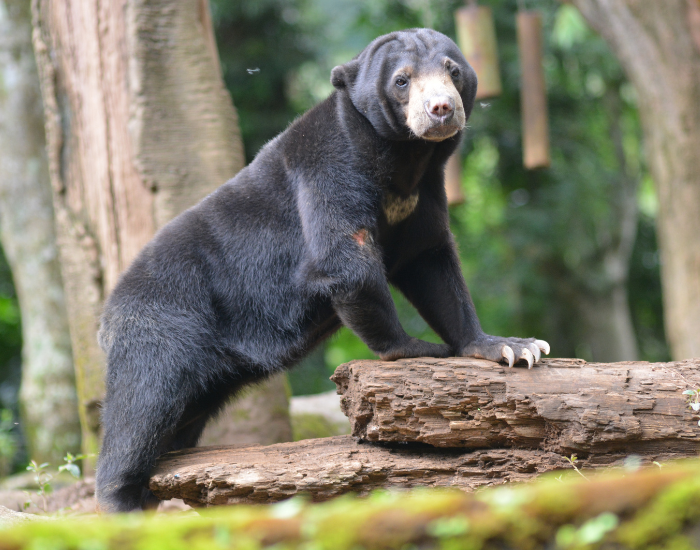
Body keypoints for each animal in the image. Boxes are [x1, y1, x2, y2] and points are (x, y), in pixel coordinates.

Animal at [95, 28, 549, 512]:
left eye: (453, 70)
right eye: (402, 79)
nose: (441, 109)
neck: (404, 159)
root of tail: (107, 315)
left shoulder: (423, 196)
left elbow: (432, 264)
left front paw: (513, 347)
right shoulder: (328, 167)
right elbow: (345, 259)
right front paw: (420, 348)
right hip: (163, 326)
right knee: (142, 407)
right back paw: (122, 499)